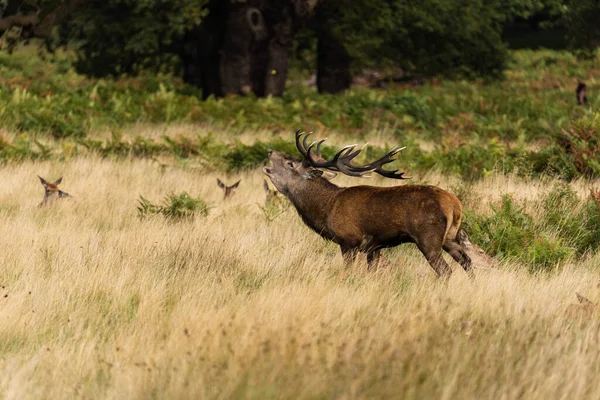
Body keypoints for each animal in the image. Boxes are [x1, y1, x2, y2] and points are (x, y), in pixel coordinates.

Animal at [262, 130, 474, 280]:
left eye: (290, 163)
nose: (270, 151)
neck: (326, 209)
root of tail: (455, 205)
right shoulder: (374, 246)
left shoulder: (349, 240)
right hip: (451, 236)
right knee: (467, 262)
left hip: (428, 237)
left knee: (446, 271)